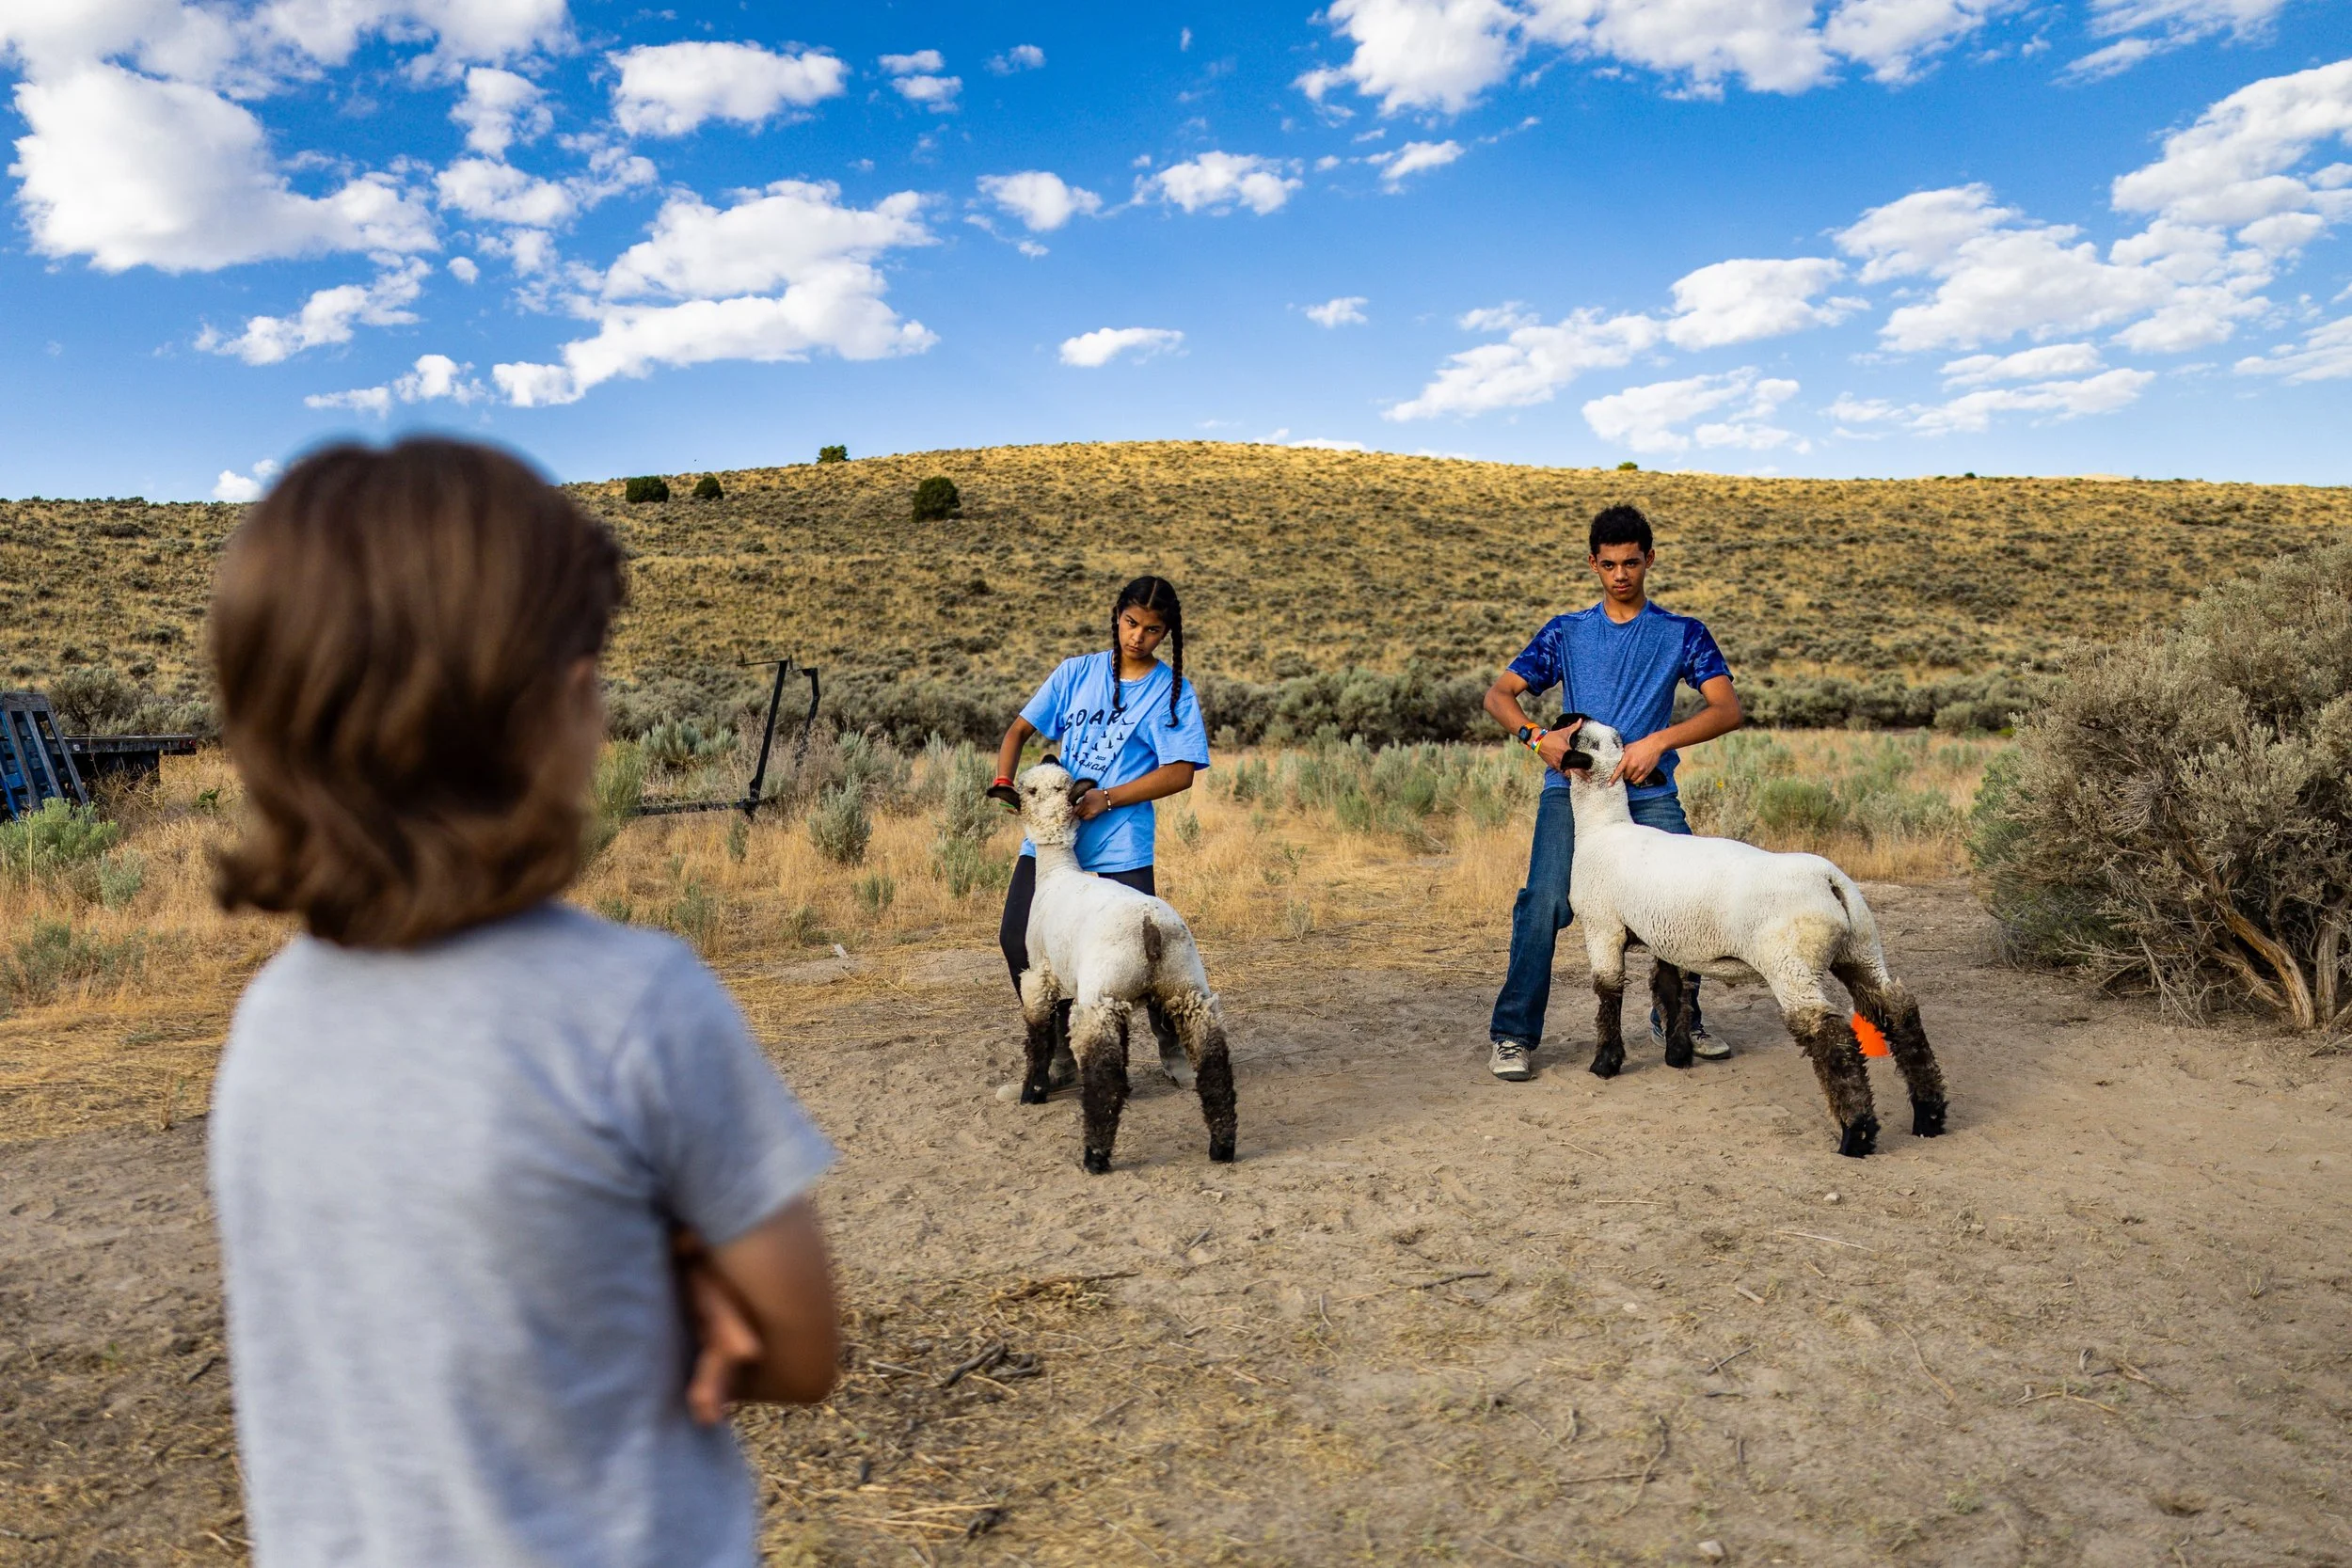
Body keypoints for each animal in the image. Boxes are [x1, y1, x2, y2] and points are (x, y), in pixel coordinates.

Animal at [1554, 716, 1949, 1158]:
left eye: (1585, 737)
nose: (1570, 717)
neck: (1603, 828)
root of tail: (1829, 880)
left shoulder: (1601, 926)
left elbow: (1608, 994)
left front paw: (1605, 1063)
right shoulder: (1667, 938)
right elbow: (1672, 991)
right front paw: (1678, 1055)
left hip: (1791, 964)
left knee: (1830, 1033)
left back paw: (1856, 1134)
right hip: (1861, 949)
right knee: (1899, 1011)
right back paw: (1929, 1115)